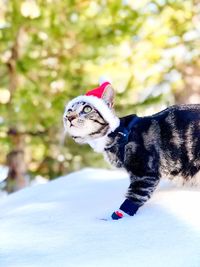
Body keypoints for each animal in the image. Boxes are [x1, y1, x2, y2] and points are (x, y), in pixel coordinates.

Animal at [63, 82, 200, 221]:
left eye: (87, 109)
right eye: (69, 111)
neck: (117, 135)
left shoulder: (144, 174)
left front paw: (115, 218)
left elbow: (133, 198)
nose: (69, 117)